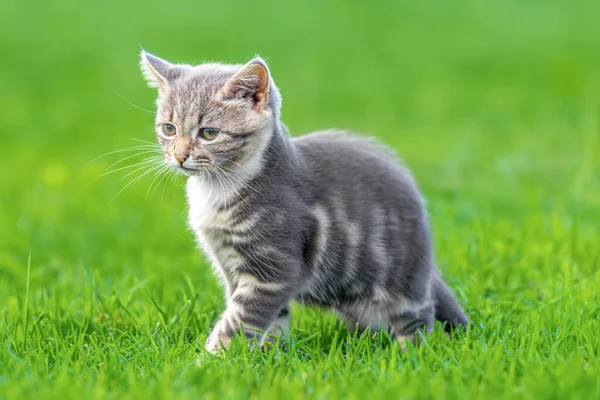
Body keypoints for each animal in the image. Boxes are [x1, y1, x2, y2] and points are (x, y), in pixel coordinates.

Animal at [141, 50, 468, 354]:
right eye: (168, 129)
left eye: (209, 133)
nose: (179, 156)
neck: (216, 190)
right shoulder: (232, 269)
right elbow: (271, 320)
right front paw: (267, 356)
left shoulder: (273, 267)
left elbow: (238, 321)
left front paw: (213, 360)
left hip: (404, 281)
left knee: (418, 318)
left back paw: (411, 354)